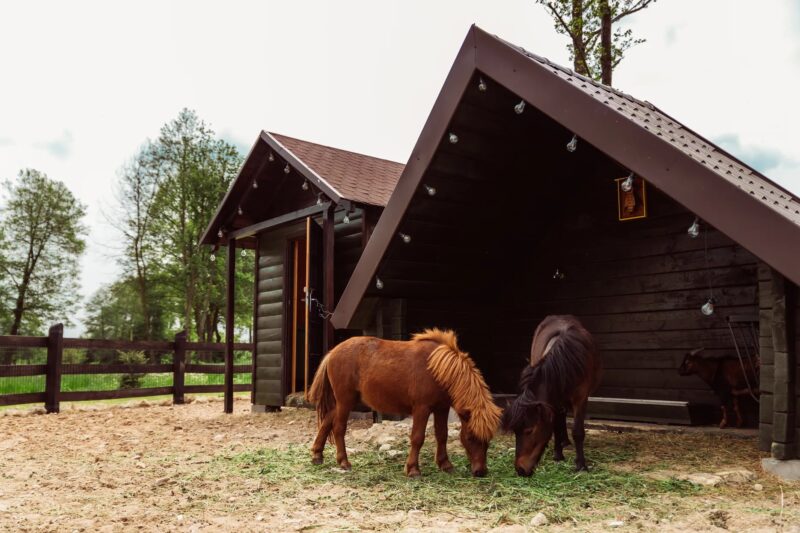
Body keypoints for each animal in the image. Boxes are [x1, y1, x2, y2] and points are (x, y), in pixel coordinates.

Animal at [306, 328, 500, 478]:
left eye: (488, 439)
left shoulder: (441, 408)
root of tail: (333, 352)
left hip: (344, 402)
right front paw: (413, 470)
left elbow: (442, 435)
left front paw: (445, 465)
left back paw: (317, 455)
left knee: (326, 422)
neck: (438, 369)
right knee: (338, 428)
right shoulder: (422, 409)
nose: (481, 471)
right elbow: (417, 438)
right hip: (345, 401)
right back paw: (344, 462)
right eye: (470, 437)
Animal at [500, 314, 600, 476]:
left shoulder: (581, 398)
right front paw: (558, 455)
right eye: (515, 431)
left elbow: (578, 431)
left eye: (529, 430)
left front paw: (581, 465)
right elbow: (555, 426)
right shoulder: (554, 400)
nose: (520, 469)